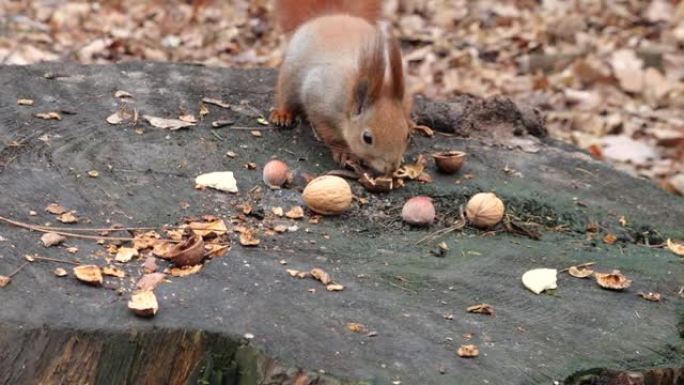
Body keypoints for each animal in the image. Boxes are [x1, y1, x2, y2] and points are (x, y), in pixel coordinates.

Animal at [272, 0, 412, 176]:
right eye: (367, 138)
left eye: (406, 135)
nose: (391, 168)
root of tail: (332, 16)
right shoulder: (319, 104)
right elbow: (330, 135)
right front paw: (344, 152)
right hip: (290, 75)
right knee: (286, 96)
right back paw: (282, 114)